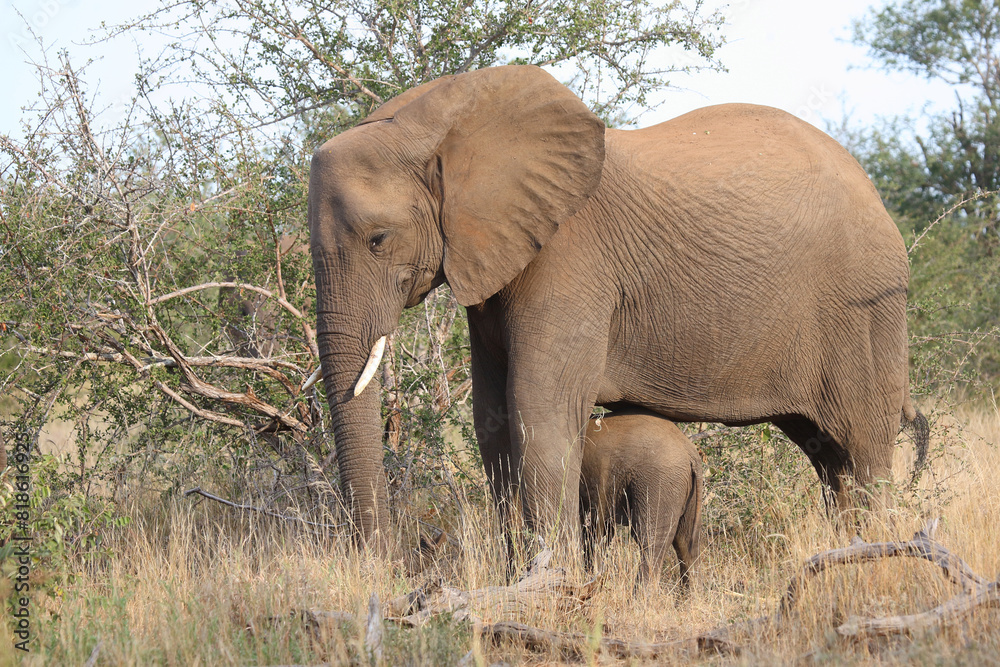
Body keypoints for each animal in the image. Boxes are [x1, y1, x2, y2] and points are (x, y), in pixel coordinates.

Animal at [308, 65, 924, 552]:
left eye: (379, 239)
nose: (386, 563)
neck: (439, 121)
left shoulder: (568, 260)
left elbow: (539, 409)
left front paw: (550, 584)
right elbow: (492, 419)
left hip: (866, 307)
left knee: (861, 450)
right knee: (828, 457)